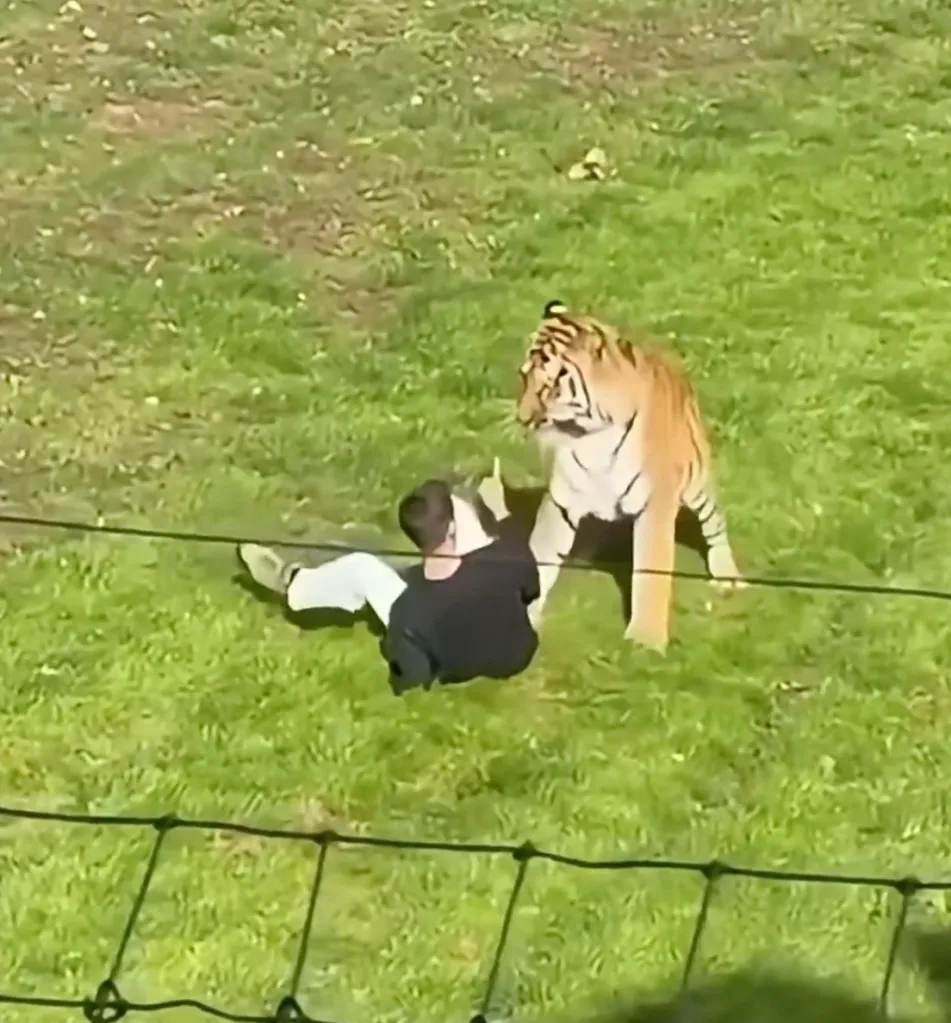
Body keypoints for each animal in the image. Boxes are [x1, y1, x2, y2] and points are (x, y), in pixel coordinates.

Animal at [515, 300, 745, 652]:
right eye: (524, 377)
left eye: (551, 386)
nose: (522, 418)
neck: (591, 434)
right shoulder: (562, 500)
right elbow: (541, 553)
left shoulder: (656, 506)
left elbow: (650, 572)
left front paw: (645, 640)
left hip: (698, 485)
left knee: (715, 525)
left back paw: (727, 575)